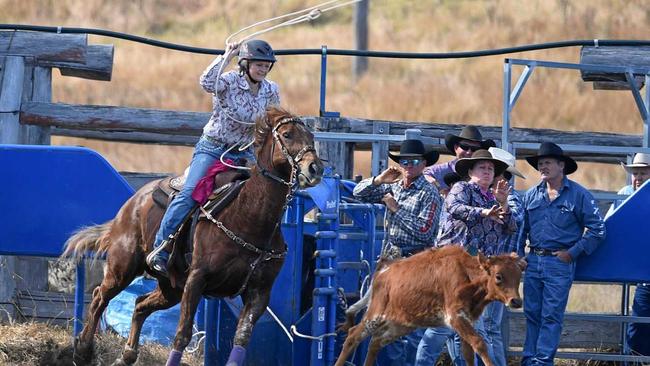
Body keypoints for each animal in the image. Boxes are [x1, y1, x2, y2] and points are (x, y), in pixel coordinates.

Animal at [61, 107, 324, 366]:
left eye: (312, 138)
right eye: (287, 134)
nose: (315, 168)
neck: (248, 217)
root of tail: (133, 201)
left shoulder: (260, 292)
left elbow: (241, 337)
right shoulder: (197, 279)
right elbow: (182, 334)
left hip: (171, 288)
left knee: (140, 304)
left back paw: (127, 356)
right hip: (123, 266)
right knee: (99, 297)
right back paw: (83, 351)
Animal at [336, 244, 524, 366]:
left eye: (519, 275)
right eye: (498, 276)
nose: (516, 301)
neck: (467, 276)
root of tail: (383, 270)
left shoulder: (467, 320)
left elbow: (469, 353)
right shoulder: (455, 317)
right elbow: (479, 343)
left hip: (401, 324)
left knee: (376, 342)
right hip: (375, 314)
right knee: (353, 336)